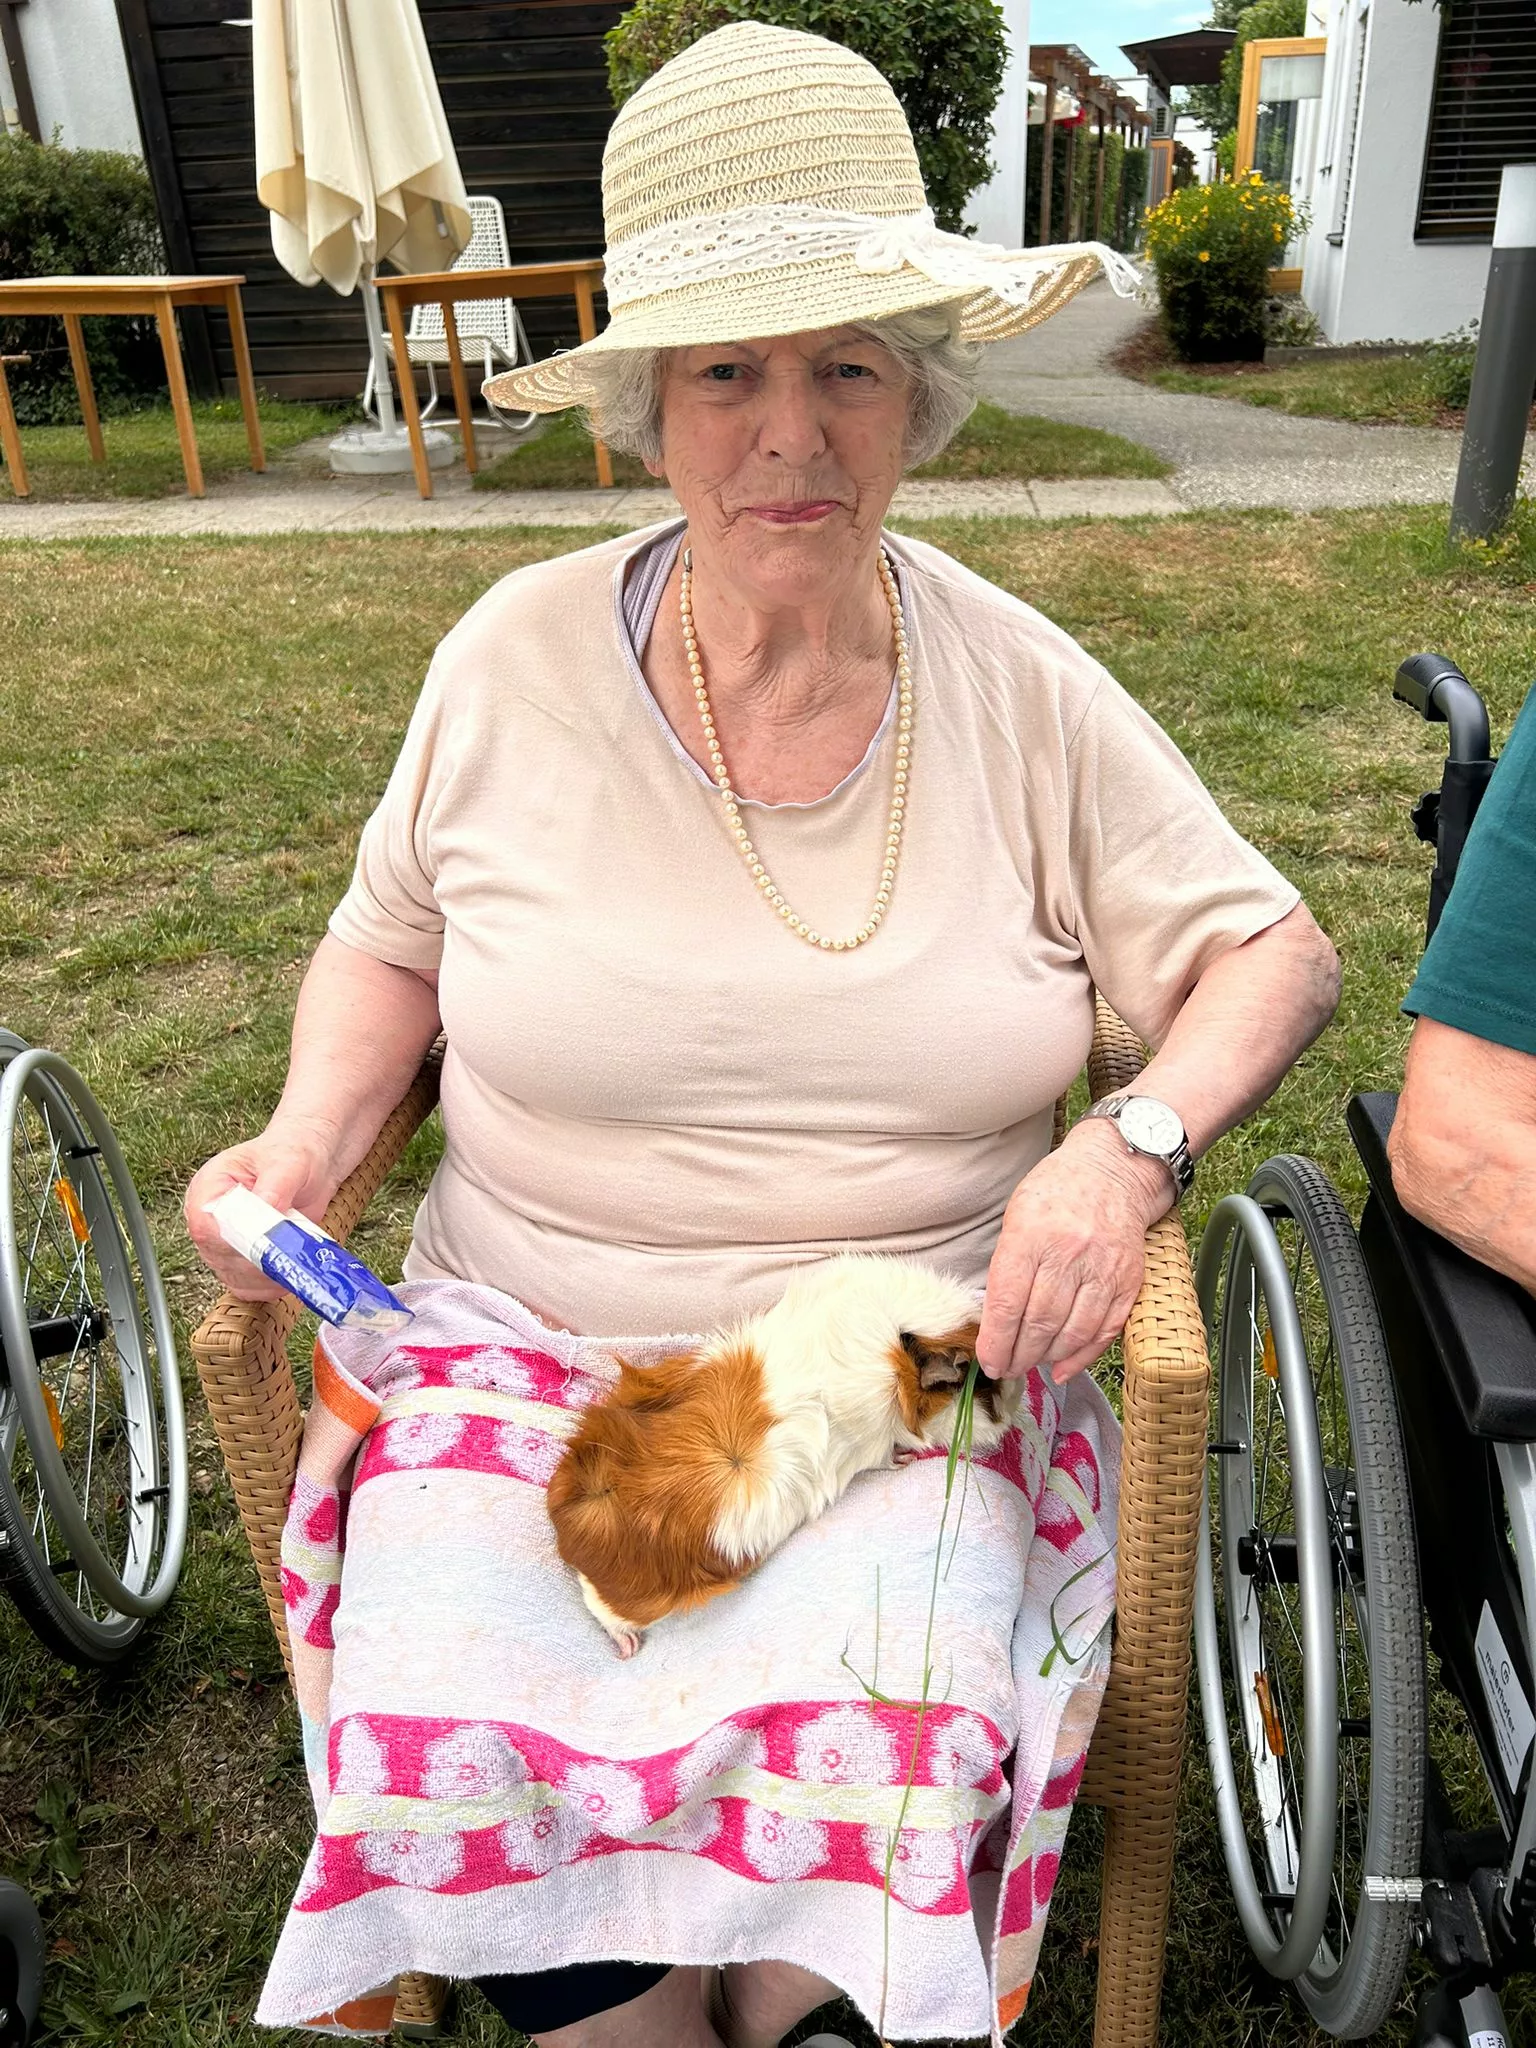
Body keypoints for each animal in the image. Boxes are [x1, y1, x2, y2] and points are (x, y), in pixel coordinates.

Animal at [545, 1253, 1019, 1657]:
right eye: (981, 1386)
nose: (1018, 1403)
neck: (893, 1352)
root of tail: (578, 1512)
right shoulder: (873, 1443)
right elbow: (886, 1455)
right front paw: (904, 1459)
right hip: (639, 1603)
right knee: (601, 1608)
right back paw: (628, 1648)